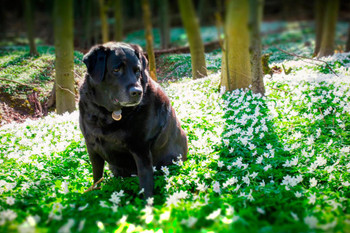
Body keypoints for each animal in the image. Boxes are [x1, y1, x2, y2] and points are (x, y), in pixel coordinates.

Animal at [79, 42, 189, 198]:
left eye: (137, 71)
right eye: (116, 69)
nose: (137, 92)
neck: (109, 113)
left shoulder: (141, 150)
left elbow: (146, 185)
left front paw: (147, 204)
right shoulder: (91, 146)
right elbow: (96, 177)